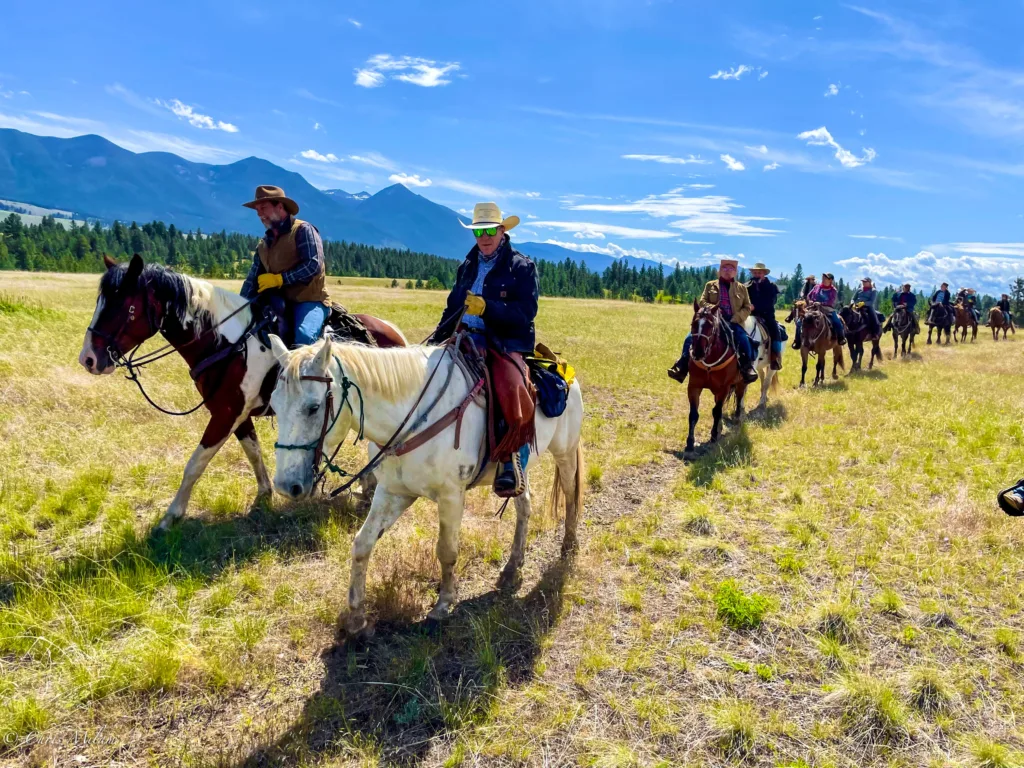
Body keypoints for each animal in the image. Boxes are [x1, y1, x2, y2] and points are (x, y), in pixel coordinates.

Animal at [77, 256, 405, 532]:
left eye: (125, 308)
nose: (88, 359)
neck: (228, 343)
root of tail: (392, 330)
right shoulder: (236, 413)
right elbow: (253, 452)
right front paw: (264, 495)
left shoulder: (226, 414)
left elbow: (195, 464)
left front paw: (171, 517)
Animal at [266, 335, 585, 638]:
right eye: (274, 405)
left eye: (313, 407)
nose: (285, 486)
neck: (414, 417)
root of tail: (559, 365)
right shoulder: (392, 492)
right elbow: (362, 544)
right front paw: (356, 617)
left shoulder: (451, 496)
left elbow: (447, 550)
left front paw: (442, 605)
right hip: (521, 470)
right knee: (524, 506)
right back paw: (512, 566)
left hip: (565, 451)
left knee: (570, 494)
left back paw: (569, 544)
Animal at [684, 303, 749, 454]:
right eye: (694, 323)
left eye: (710, 325)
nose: (698, 352)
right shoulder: (694, 386)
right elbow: (694, 414)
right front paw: (690, 442)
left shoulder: (724, 388)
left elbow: (717, 411)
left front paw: (713, 436)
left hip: (741, 383)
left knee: (739, 399)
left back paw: (736, 420)